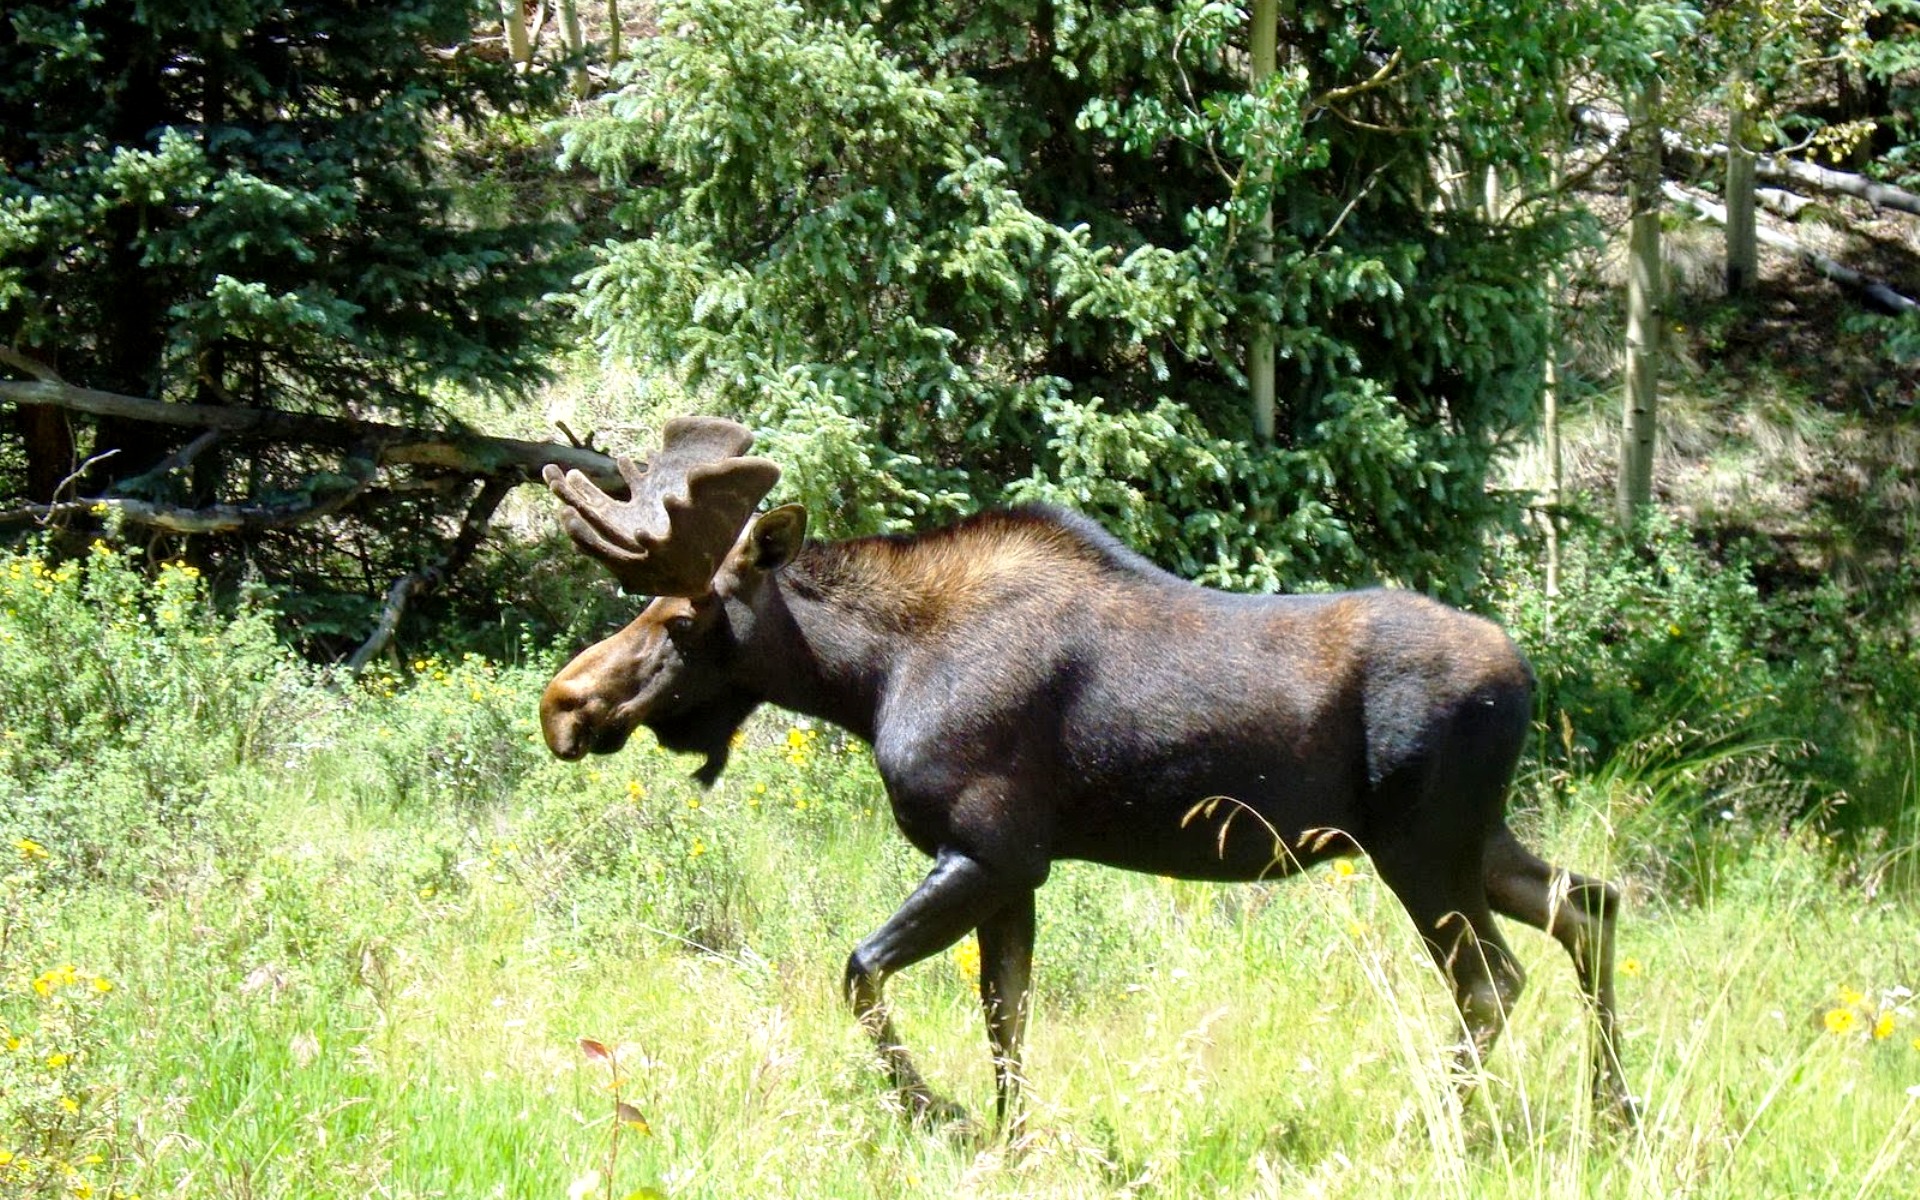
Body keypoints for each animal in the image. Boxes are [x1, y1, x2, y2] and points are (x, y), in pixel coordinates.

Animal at [541, 416, 1635, 1128]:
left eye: (683, 618)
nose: (563, 704)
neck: (868, 676)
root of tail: (1525, 676)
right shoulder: (1017, 869)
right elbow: (1006, 1021)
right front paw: (1010, 1142)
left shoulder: (990, 849)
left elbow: (862, 972)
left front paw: (939, 1113)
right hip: (1470, 836)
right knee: (1591, 903)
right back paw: (1613, 1113)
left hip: (1420, 845)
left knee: (1494, 977)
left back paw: (1445, 1123)